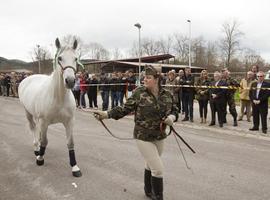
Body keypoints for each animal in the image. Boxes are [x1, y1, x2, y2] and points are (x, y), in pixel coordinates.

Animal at [18, 38, 81, 177]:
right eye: (60, 58)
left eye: (76, 58)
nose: (70, 81)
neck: (58, 97)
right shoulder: (44, 121)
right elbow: (44, 141)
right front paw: (40, 159)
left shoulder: (69, 122)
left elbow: (70, 142)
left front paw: (74, 167)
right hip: (28, 113)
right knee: (34, 129)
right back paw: (37, 149)